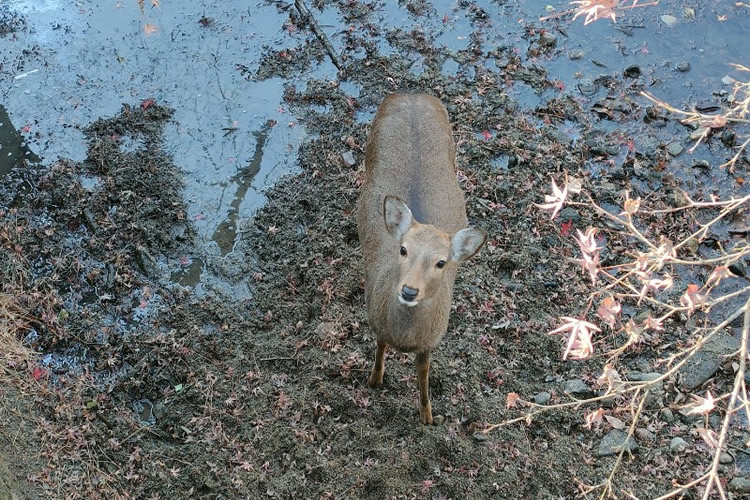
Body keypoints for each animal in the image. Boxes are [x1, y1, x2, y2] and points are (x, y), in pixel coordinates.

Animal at [356, 92, 488, 424]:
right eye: (402, 249)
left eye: (441, 262)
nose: (408, 290)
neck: (406, 338)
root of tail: (412, 93)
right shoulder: (375, 318)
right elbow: (379, 348)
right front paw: (374, 379)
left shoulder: (432, 340)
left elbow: (425, 375)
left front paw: (428, 417)